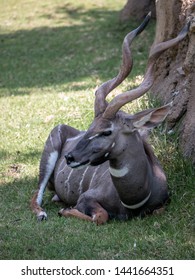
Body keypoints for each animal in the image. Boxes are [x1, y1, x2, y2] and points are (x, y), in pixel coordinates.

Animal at [31, 13, 190, 225]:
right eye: (91, 126)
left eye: (107, 131)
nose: (70, 157)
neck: (133, 200)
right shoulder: (85, 198)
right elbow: (101, 216)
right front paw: (65, 211)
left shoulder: (163, 203)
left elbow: (157, 211)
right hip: (48, 156)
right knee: (36, 194)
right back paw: (42, 213)